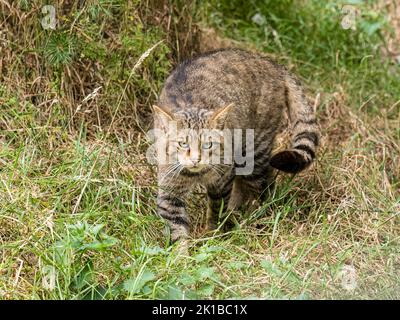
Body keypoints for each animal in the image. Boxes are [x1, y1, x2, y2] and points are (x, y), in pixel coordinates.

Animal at [152, 48, 318, 242]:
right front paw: (182, 249)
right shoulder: (169, 192)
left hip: (254, 151)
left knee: (264, 184)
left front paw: (213, 235)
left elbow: (216, 211)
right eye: (183, 143)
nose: (195, 159)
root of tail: (272, 63)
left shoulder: (222, 181)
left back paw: (257, 217)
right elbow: (176, 229)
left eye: (208, 144)